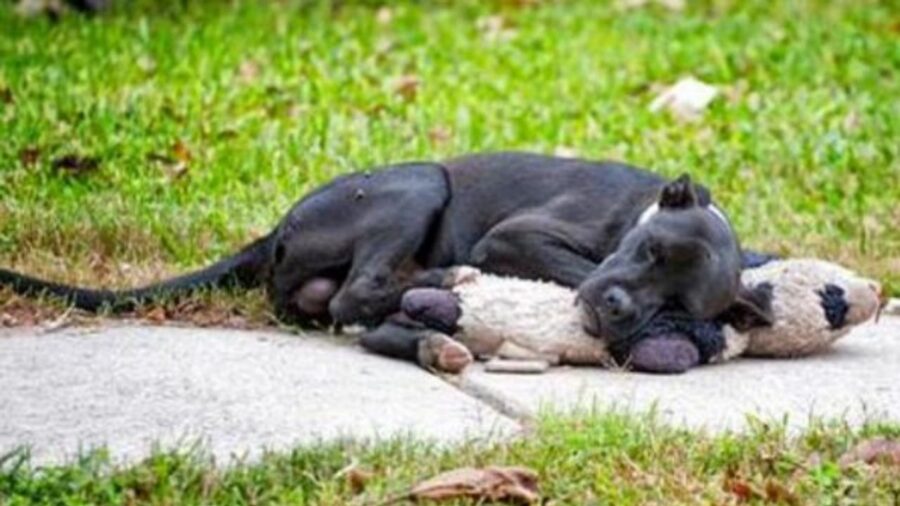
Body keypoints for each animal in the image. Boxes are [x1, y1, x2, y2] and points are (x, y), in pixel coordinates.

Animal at [1, 150, 772, 364]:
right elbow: (576, 270)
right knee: (358, 292)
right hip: (419, 183)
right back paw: (446, 283)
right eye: (648, 250)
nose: (616, 310)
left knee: (355, 308)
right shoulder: (517, 239)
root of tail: (276, 231)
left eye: (679, 297)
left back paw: (433, 324)